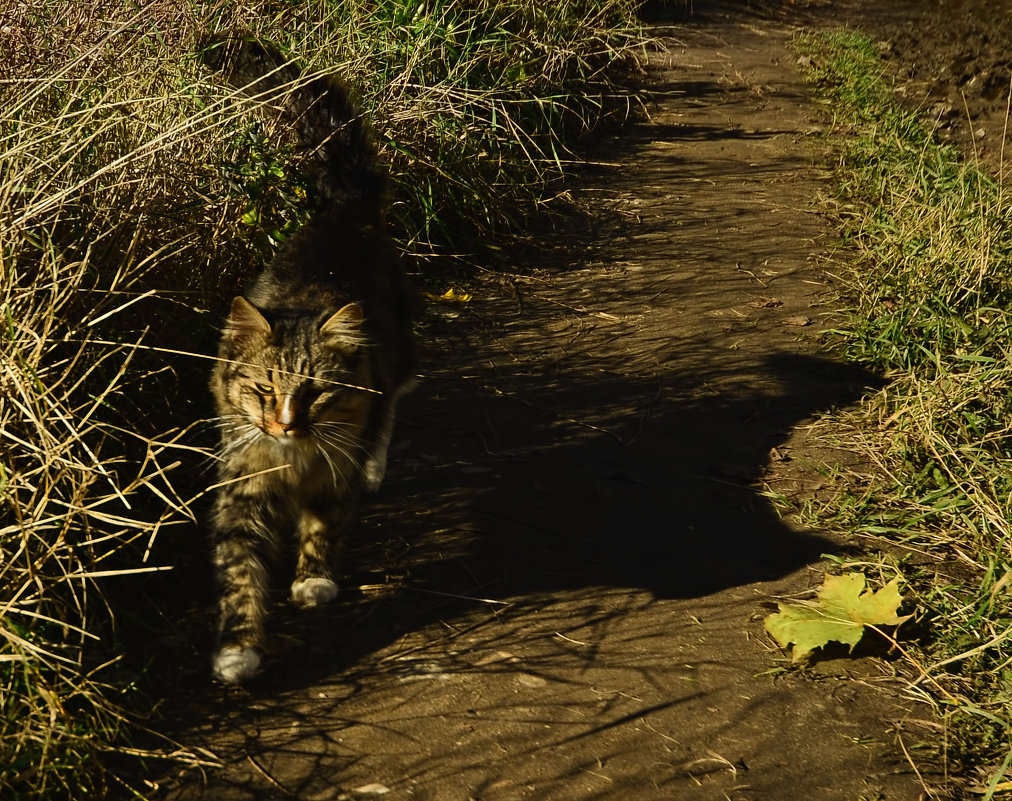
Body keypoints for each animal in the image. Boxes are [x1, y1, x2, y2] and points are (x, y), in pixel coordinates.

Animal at [201, 35, 414, 683]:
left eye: (315, 392)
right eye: (262, 392)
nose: (285, 424)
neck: (292, 460)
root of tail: (341, 211)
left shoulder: (332, 472)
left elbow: (326, 522)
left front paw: (314, 581)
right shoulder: (241, 484)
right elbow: (240, 572)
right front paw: (238, 649)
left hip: (397, 351)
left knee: (397, 397)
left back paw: (375, 467)